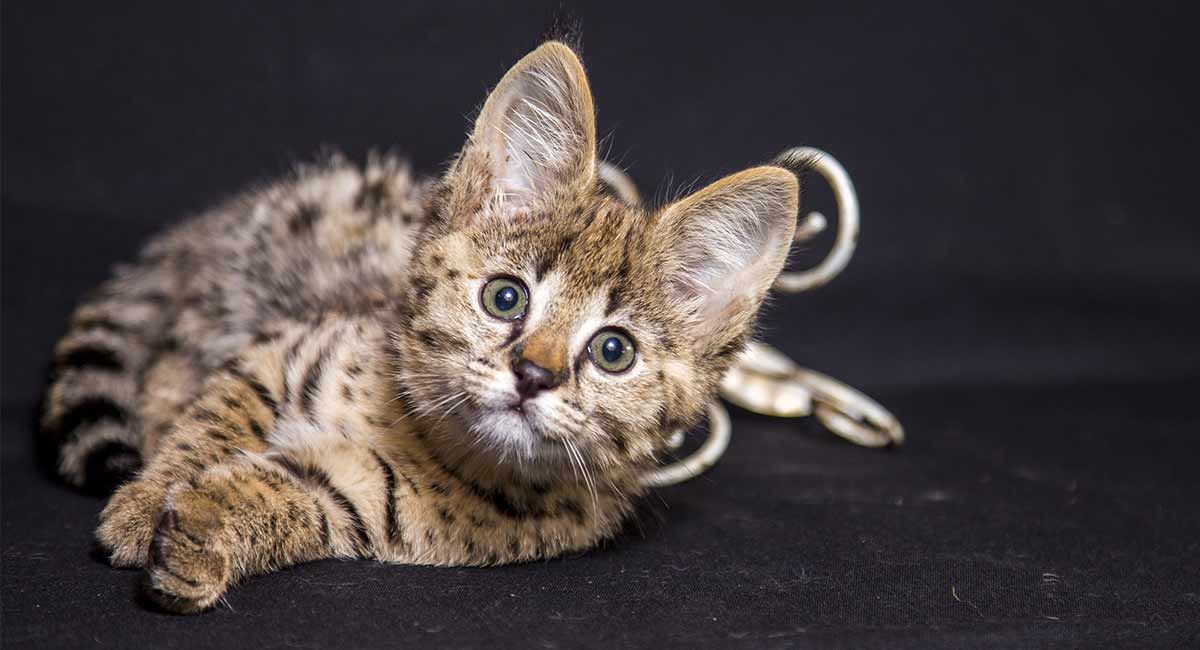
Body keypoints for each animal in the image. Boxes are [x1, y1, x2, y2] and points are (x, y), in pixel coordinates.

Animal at [39, 41, 796, 618]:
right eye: (504, 298)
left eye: (614, 351)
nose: (535, 374)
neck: (419, 431)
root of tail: (206, 230)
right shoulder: (274, 356)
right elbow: (212, 425)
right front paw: (146, 503)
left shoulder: (369, 501)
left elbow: (288, 493)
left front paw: (202, 532)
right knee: (171, 362)